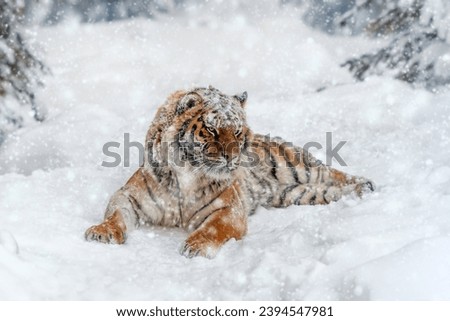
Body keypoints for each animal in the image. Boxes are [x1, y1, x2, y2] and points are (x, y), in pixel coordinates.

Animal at [84, 85, 372, 258]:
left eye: (237, 131)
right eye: (211, 129)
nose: (232, 157)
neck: (188, 175)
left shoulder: (229, 209)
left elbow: (213, 228)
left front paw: (195, 247)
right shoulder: (129, 196)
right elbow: (115, 215)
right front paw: (102, 232)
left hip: (296, 168)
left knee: (331, 173)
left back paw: (366, 185)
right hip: (296, 194)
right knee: (325, 190)